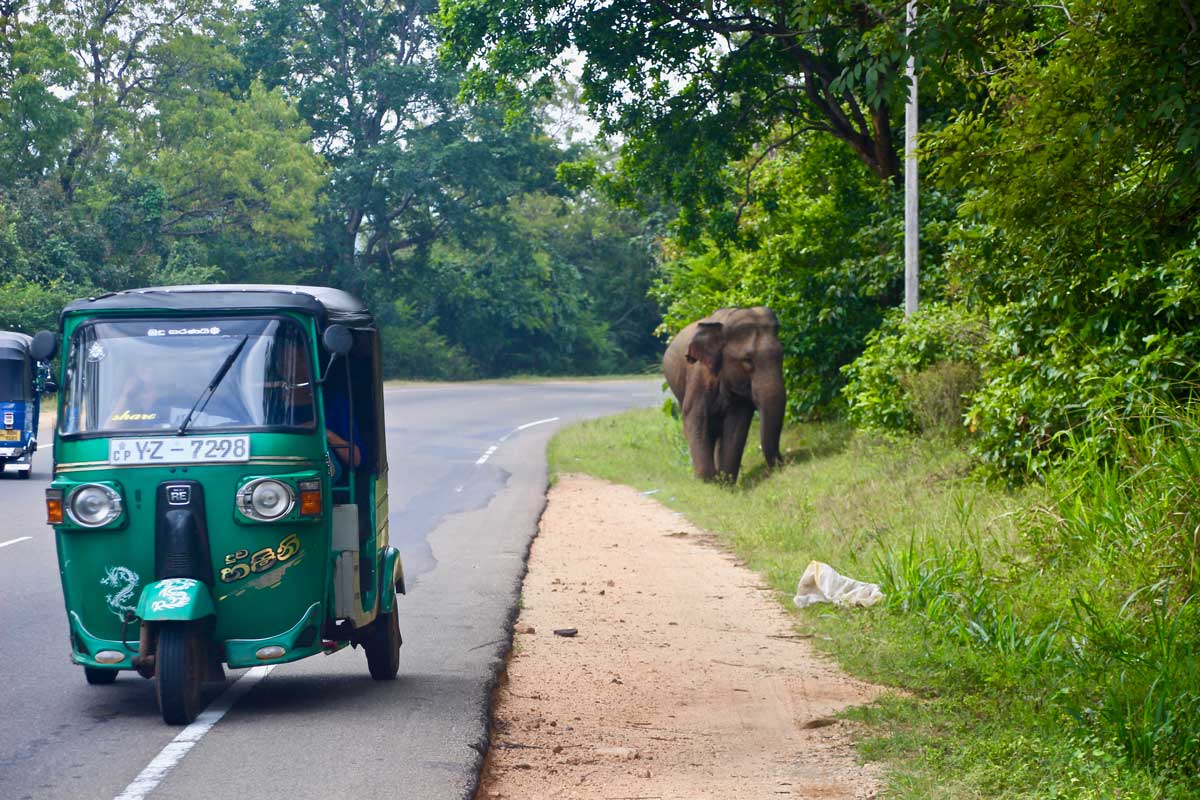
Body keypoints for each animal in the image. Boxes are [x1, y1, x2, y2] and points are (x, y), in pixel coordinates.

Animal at [662, 307, 782, 482]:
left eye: (782, 355)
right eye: (747, 360)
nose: (783, 462)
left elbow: (737, 421)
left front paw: (725, 481)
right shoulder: (699, 374)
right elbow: (693, 415)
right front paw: (709, 481)